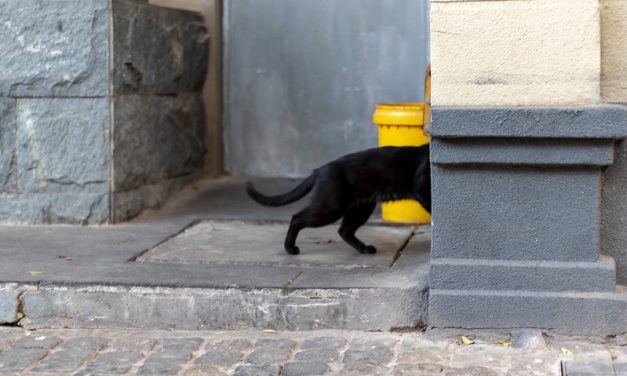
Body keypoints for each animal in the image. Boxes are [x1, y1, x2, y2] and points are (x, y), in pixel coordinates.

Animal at [245, 145, 432, 256]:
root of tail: (320, 169)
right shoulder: (421, 189)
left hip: (360, 208)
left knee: (344, 230)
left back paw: (365, 249)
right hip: (331, 207)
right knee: (297, 218)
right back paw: (290, 248)